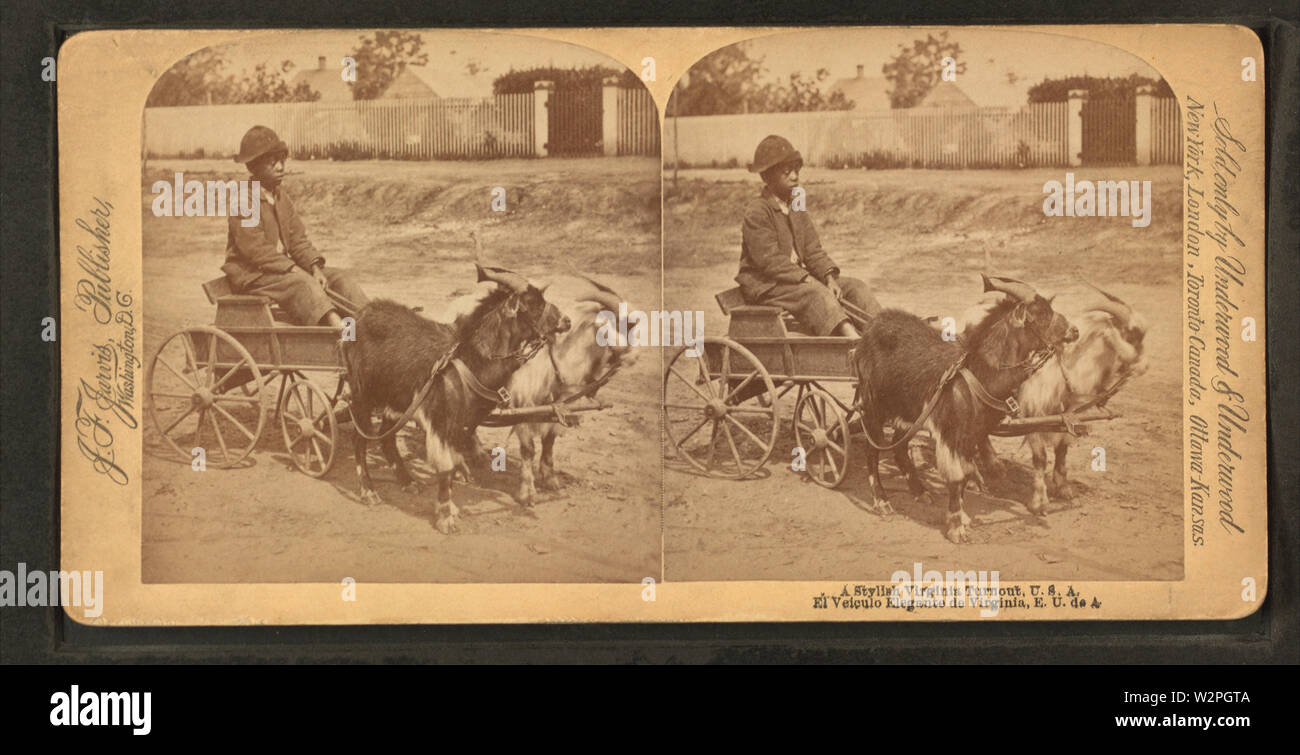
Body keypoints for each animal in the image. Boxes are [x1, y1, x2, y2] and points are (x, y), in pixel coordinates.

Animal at [345, 267, 569, 532]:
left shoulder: (464, 423)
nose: (567, 320)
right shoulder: (442, 421)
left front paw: (450, 508)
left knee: (387, 438)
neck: (470, 362)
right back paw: (368, 491)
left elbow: (454, 464)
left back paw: (408, 481)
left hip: (396, 402)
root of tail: (362, 314)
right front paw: (445, 516)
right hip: (362, 395)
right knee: (360, 439)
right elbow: (447, 467)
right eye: (535, 304)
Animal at [852, 275, 1076, 540]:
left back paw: (920, 492)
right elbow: (958, 476)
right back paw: (882, 501)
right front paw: (956, 527)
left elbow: (968, 471)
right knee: (872, 450)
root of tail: (871, 327)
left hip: (907, 413)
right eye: (1041, 314)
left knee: (899, 447)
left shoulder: (973, 433)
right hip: (873, 406)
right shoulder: (951, 432)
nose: (1074, 330)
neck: (979, 373)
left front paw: (963, 516)